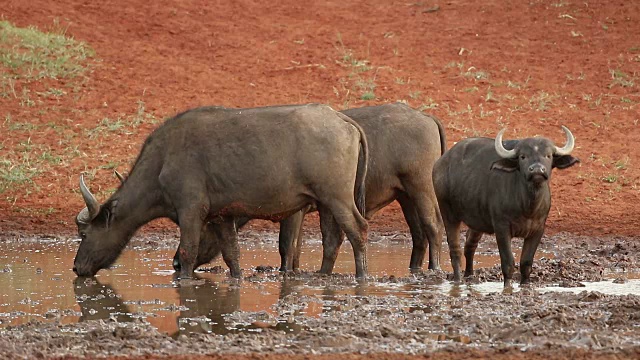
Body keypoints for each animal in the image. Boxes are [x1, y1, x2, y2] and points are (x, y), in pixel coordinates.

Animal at [72, 104, 368, 278]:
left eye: (84, 234)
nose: (76, 267)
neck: (162, 161)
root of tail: (342, 119)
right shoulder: (221, 217)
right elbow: (231, 256)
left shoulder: (191, 211)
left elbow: (188, 251)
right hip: (327, 203)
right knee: (332, 239)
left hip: (338, 198)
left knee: (358, 230)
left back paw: (361, 275)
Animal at [172, 102, 448, 274]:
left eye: (205, 225)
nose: (175, 263)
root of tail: (426, 117)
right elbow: (298, 248)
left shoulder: (294, 211)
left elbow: (286, 245)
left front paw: (286, 272)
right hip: (405, 196)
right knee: (418, 235)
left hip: (421, 187)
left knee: (433, 226)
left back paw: (434, 268)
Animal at [432, 125, 576, 286]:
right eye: (523, 156)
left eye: (548, 155)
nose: (537, 170)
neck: (527, 205)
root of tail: (440, 163)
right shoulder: (501, 228)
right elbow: (508, 263)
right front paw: (507, 287)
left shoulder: (538, 229)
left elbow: (526, 263)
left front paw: (525, 285)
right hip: (448, 213)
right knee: (455, 249)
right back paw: (458, 280)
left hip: (477, 221)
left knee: (469, 245)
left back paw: (469, 275)